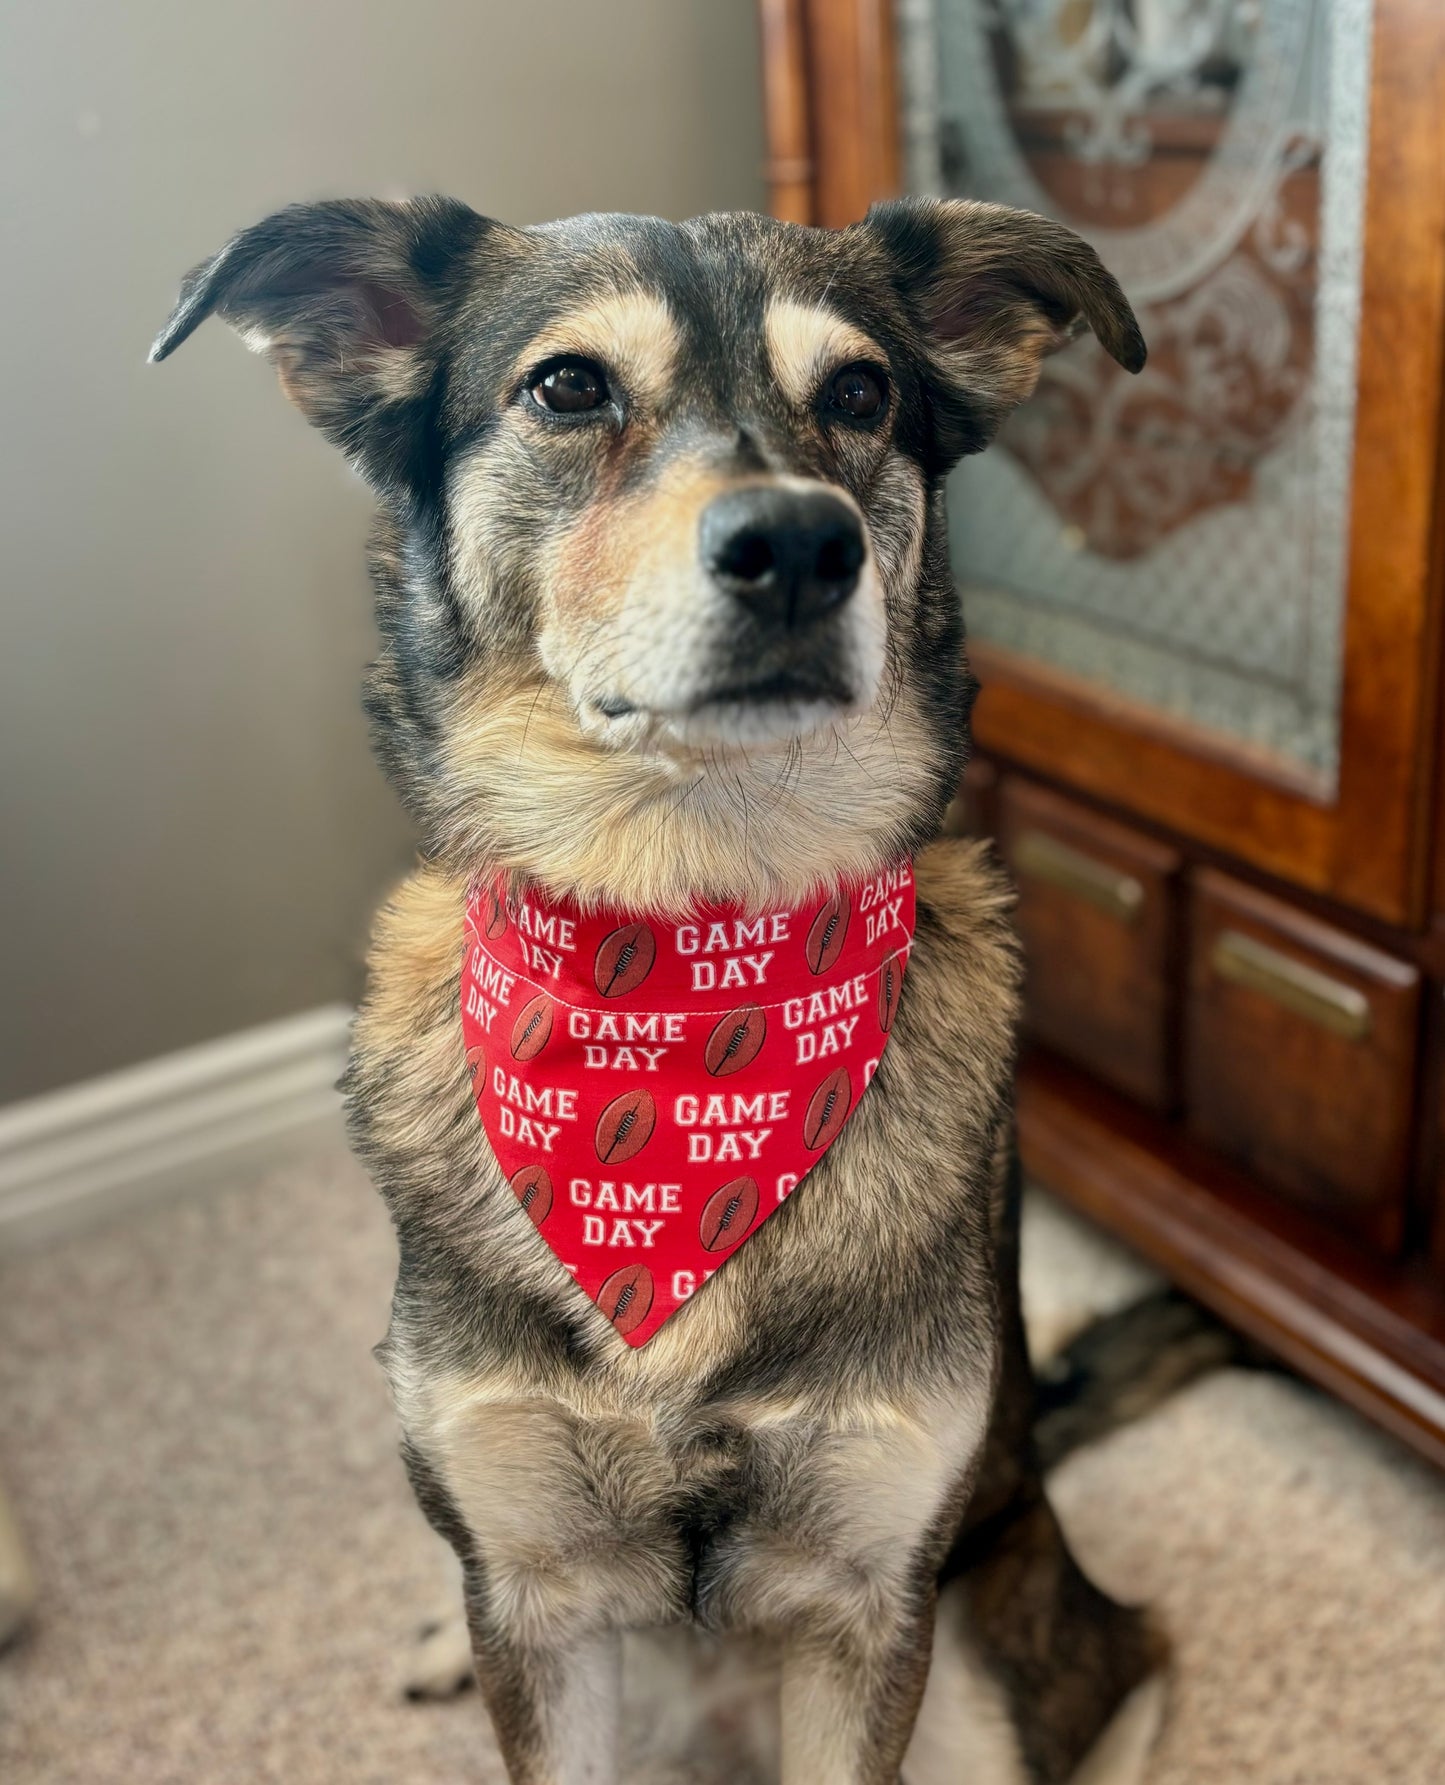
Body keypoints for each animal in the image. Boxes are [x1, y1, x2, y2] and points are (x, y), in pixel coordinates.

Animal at [155, 195, 1163, 1785]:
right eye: (568, 386)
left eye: (860, 394)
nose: (801, 544)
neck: (684, 973)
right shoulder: (539, 1598)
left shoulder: (868, 1601)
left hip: (996, 1664)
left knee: (1129, 1673)